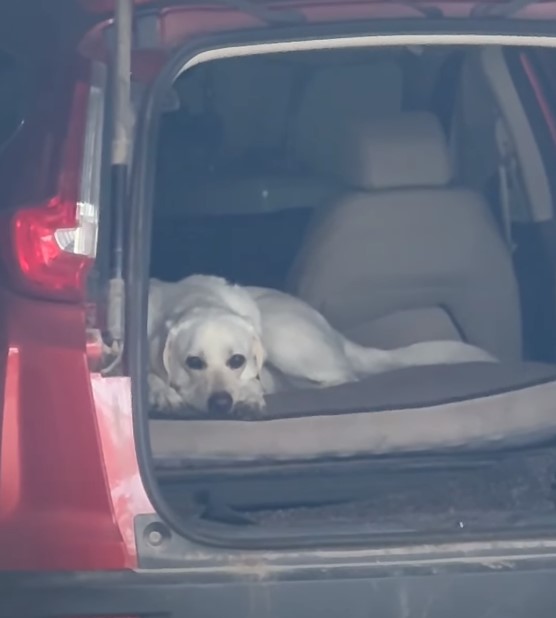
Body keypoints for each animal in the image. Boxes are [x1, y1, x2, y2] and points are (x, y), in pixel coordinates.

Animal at [147, 274, 496, 414]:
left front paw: (249, 394)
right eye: (193, 362)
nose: (221, 403)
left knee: (344, 378)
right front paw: (162, 392)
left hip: (280, 334)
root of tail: (336, 334)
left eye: (237, 360)